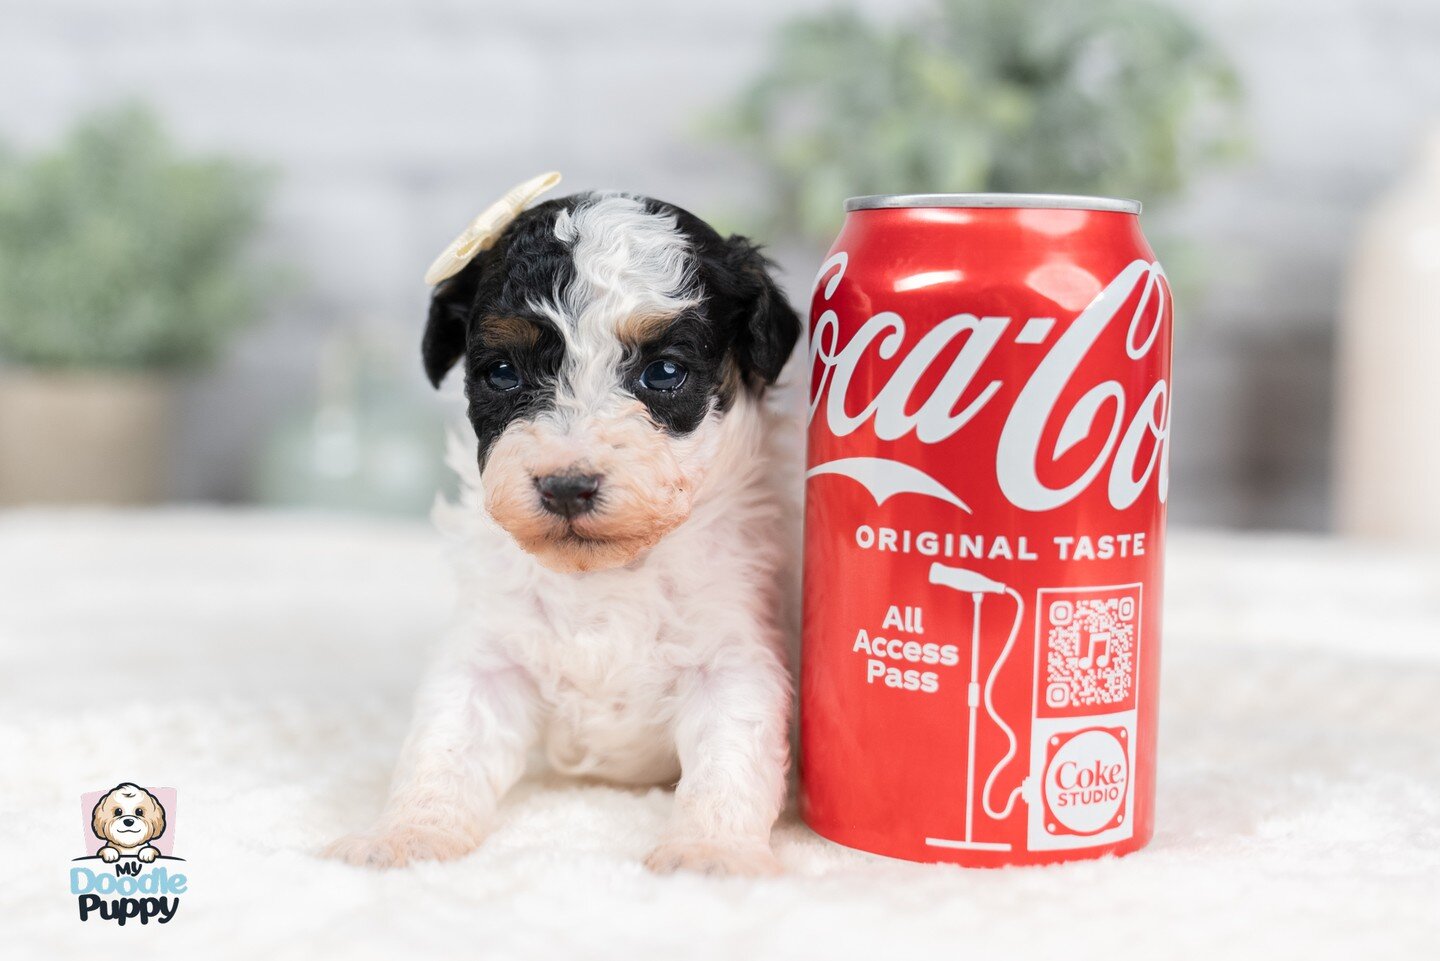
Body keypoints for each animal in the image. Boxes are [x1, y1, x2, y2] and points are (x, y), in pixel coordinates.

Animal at [324, 176, 800, 875]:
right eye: (502, 373)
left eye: (664, 372)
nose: (566, 486)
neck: (603, 574)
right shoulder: (488, 653)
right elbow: (444, 744)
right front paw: (405, 835)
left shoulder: (734, 655)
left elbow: (729, 758)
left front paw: (709, 851)